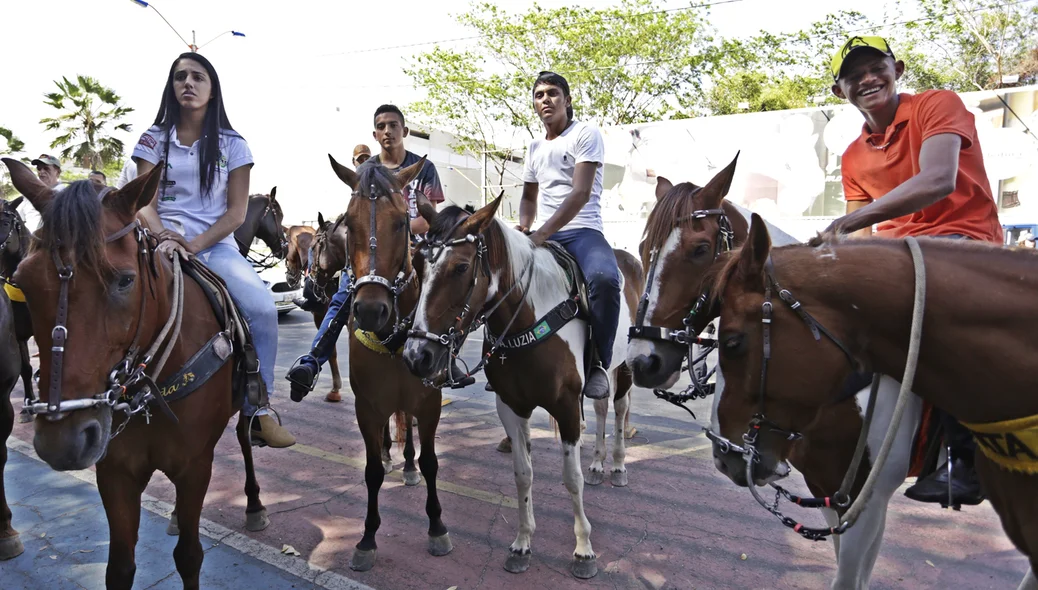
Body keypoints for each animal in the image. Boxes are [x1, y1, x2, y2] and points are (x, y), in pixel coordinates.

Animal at [2, 158, 267, 585]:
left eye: (125, 280)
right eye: (24, 282)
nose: (63, 442)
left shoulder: (195, 468)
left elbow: (189, 556)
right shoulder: (114, 472)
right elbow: (120, 567)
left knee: (245, 435)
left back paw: (255, 503)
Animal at [402, 199, 639, 581]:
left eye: (461, 267)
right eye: (419, 264)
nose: (416, 355)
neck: (528, 319)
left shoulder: (566, 407)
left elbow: (571, 479)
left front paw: (584, 550)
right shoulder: (511, 407)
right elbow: (522, 475)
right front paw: (522, 543)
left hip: (625, 365)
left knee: (619, 407)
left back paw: (617, 465)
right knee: (602, 408)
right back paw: (598, 463)